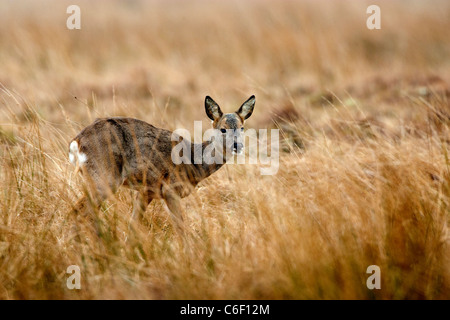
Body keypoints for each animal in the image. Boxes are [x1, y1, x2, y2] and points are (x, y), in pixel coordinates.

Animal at [68, 95, 255, 232]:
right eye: (223, 128)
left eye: (242, 127)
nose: (238, 145)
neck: (193, 163)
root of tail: (77, 141)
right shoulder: (170, 189)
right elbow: (181, 228)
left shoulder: (147, 191)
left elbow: (133, 224)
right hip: (104, 177)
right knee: (79, 212)